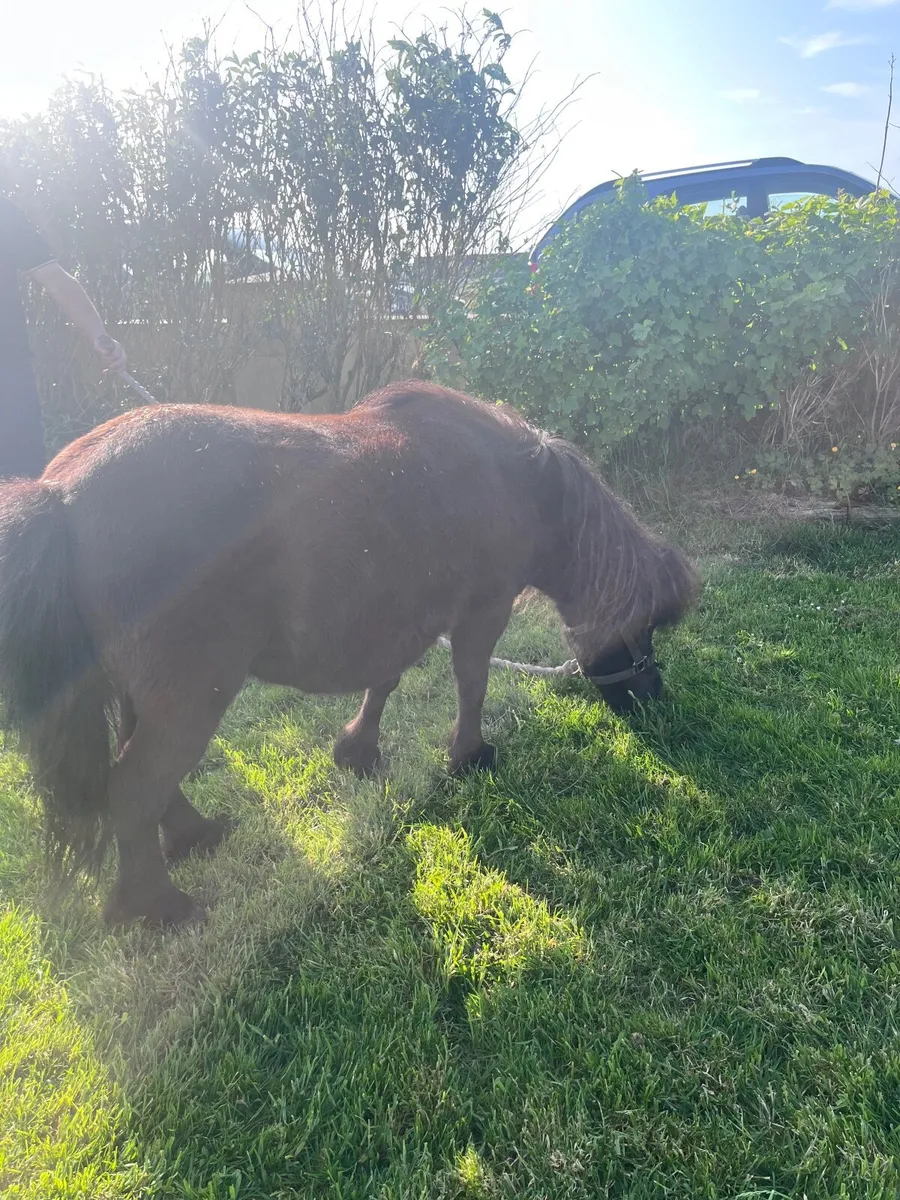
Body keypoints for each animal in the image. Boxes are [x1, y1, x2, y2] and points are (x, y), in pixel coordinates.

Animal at [0, 380, 699, 927]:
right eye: (644, 628)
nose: (653, 698)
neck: (514, 479)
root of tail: (61, 495)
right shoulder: (481, 612)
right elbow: (471, 683)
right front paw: (469, 755)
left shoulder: (399, 618)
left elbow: (383, 681)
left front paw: (358, 750)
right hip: (193, 699)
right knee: (134, 786)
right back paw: (156, 908)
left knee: (141, 779)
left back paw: (194, 838)